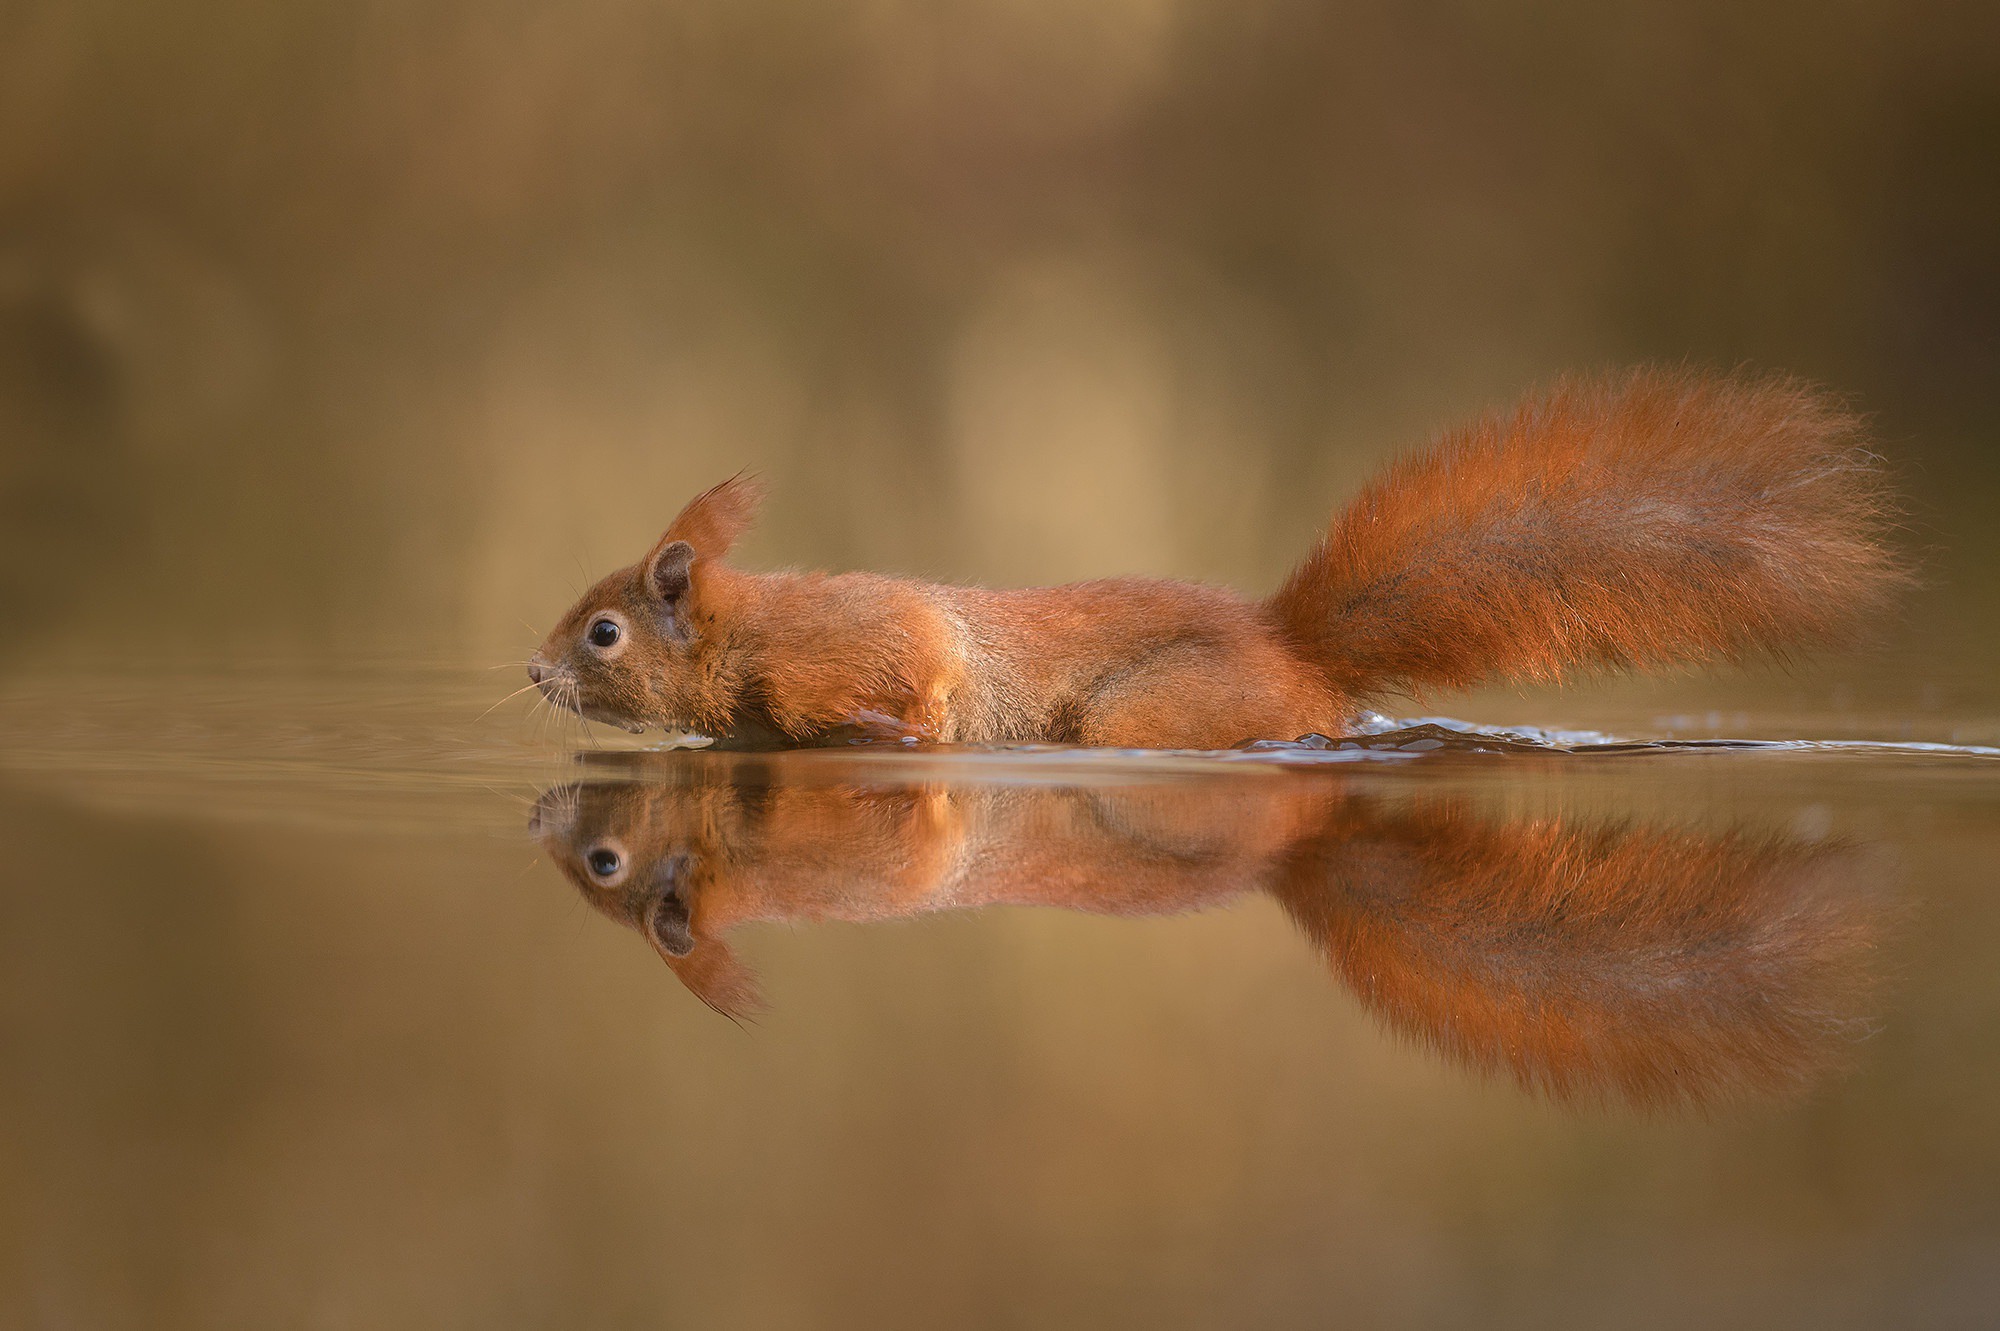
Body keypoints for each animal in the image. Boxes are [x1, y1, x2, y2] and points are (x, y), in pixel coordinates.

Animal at [528, 365, 1904, 747]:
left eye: (603, 630)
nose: (532, 673)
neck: (743, 636)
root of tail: (1290, 647)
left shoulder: (843, 644)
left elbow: (908, 673)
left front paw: (890, 725)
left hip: (1156, 709)